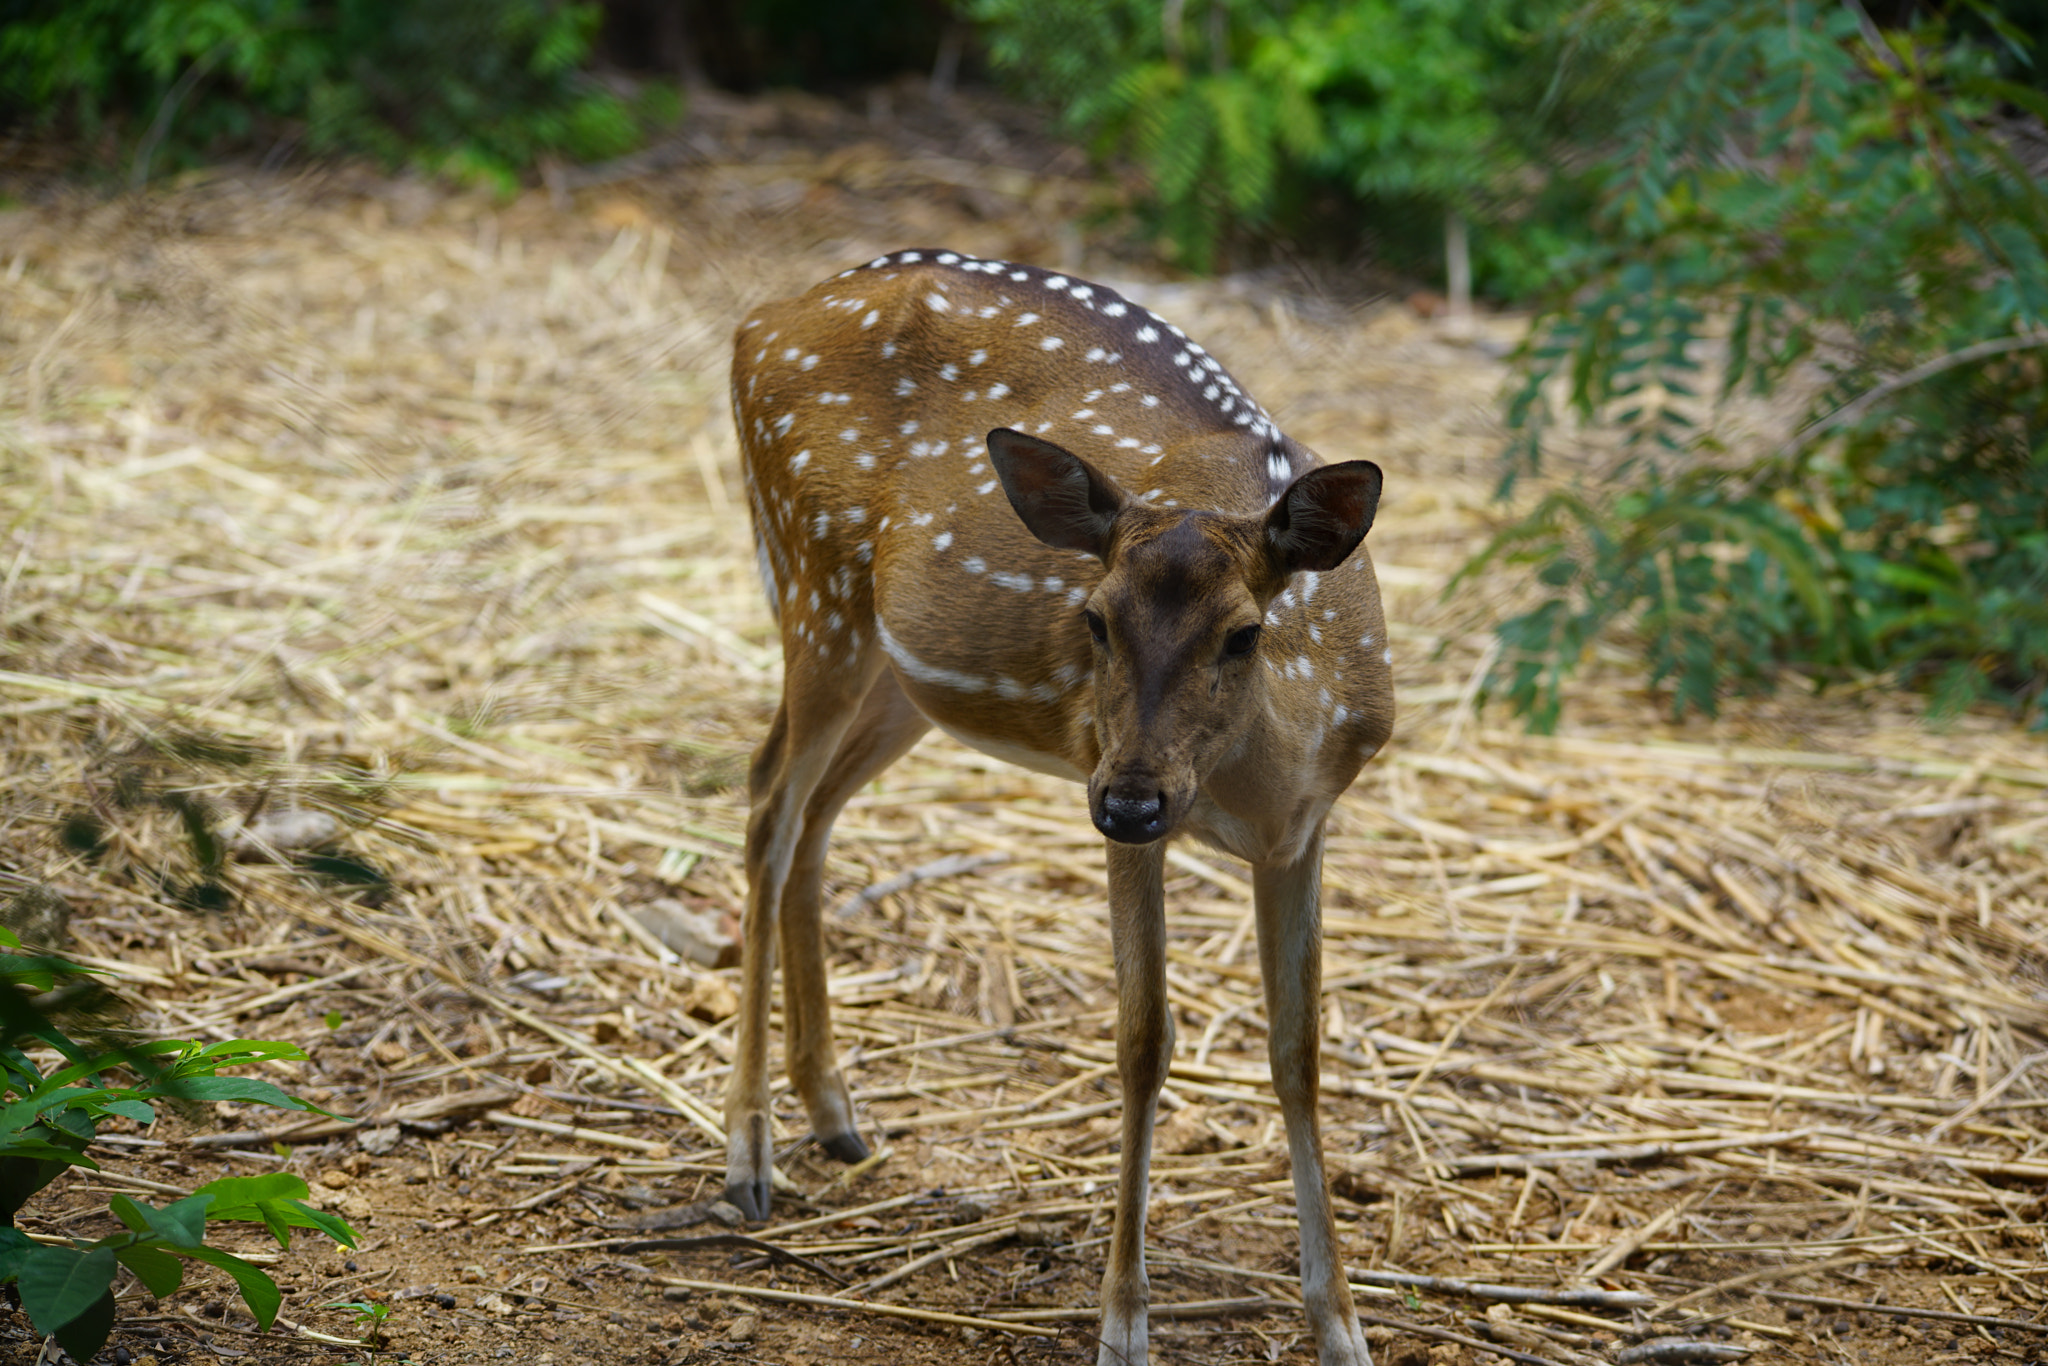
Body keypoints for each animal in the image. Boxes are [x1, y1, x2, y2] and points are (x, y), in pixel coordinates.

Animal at [724, 250, 1392, 1359]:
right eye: (1093, 618)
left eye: (1243, 631)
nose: (1128, 800)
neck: (1253, 775)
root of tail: (757, 321)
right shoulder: (1107, 774)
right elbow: (1142, 1040)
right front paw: (1122, 1324)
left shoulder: (1305, 825)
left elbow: (1297, 1049)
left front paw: (1339, 1326)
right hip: (811, 578)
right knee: (768, 802)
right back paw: (748, 1156)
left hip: (900, 670)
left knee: (813, 814)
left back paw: (834, 1114)